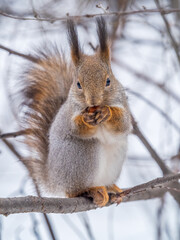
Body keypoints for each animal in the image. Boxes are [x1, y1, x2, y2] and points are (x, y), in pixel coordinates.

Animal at [18, 17, 131, 207]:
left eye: (108, 81)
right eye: (78, 84)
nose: (93, 102)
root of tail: (54, 178)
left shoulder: (124, 105)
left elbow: (123, 124)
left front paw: (107, 112)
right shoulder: (71, 113)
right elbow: (75, 128)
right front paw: (86, 119)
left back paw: (112, 188)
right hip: (82, 155)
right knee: (72, 192)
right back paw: (92, 190)